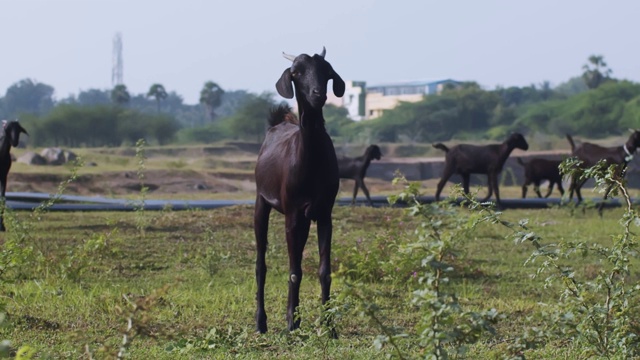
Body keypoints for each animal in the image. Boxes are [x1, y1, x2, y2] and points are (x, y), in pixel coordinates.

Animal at [254, 47, 344, 338]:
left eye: (326, 70)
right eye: (297, 73)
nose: (318, 94)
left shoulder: (324, 213)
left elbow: (324, 270)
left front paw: (329, 326)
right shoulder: (292, 213)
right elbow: (294, 271)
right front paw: (291, 323)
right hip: (261, 202)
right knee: (261, 264)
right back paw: (261, 322)